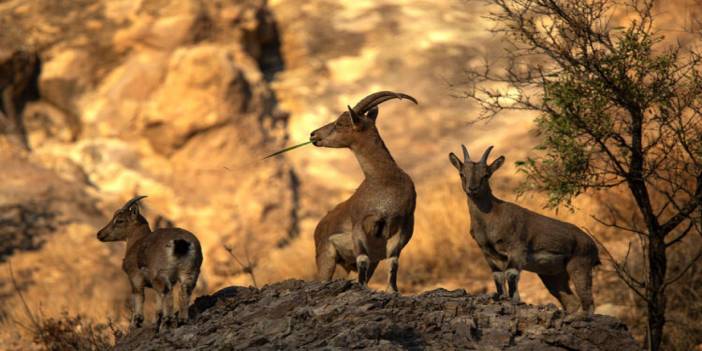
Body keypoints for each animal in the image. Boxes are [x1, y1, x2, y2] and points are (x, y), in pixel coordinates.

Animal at [312, 91, 418, 294]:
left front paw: (392, 290)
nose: (313, 134)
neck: (383, 181)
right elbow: (362, 259)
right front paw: (362, 288)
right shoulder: (360, 227)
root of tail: (319, 226)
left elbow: (393, 261)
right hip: (326, 256)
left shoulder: (402, 227)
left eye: (340, 123)